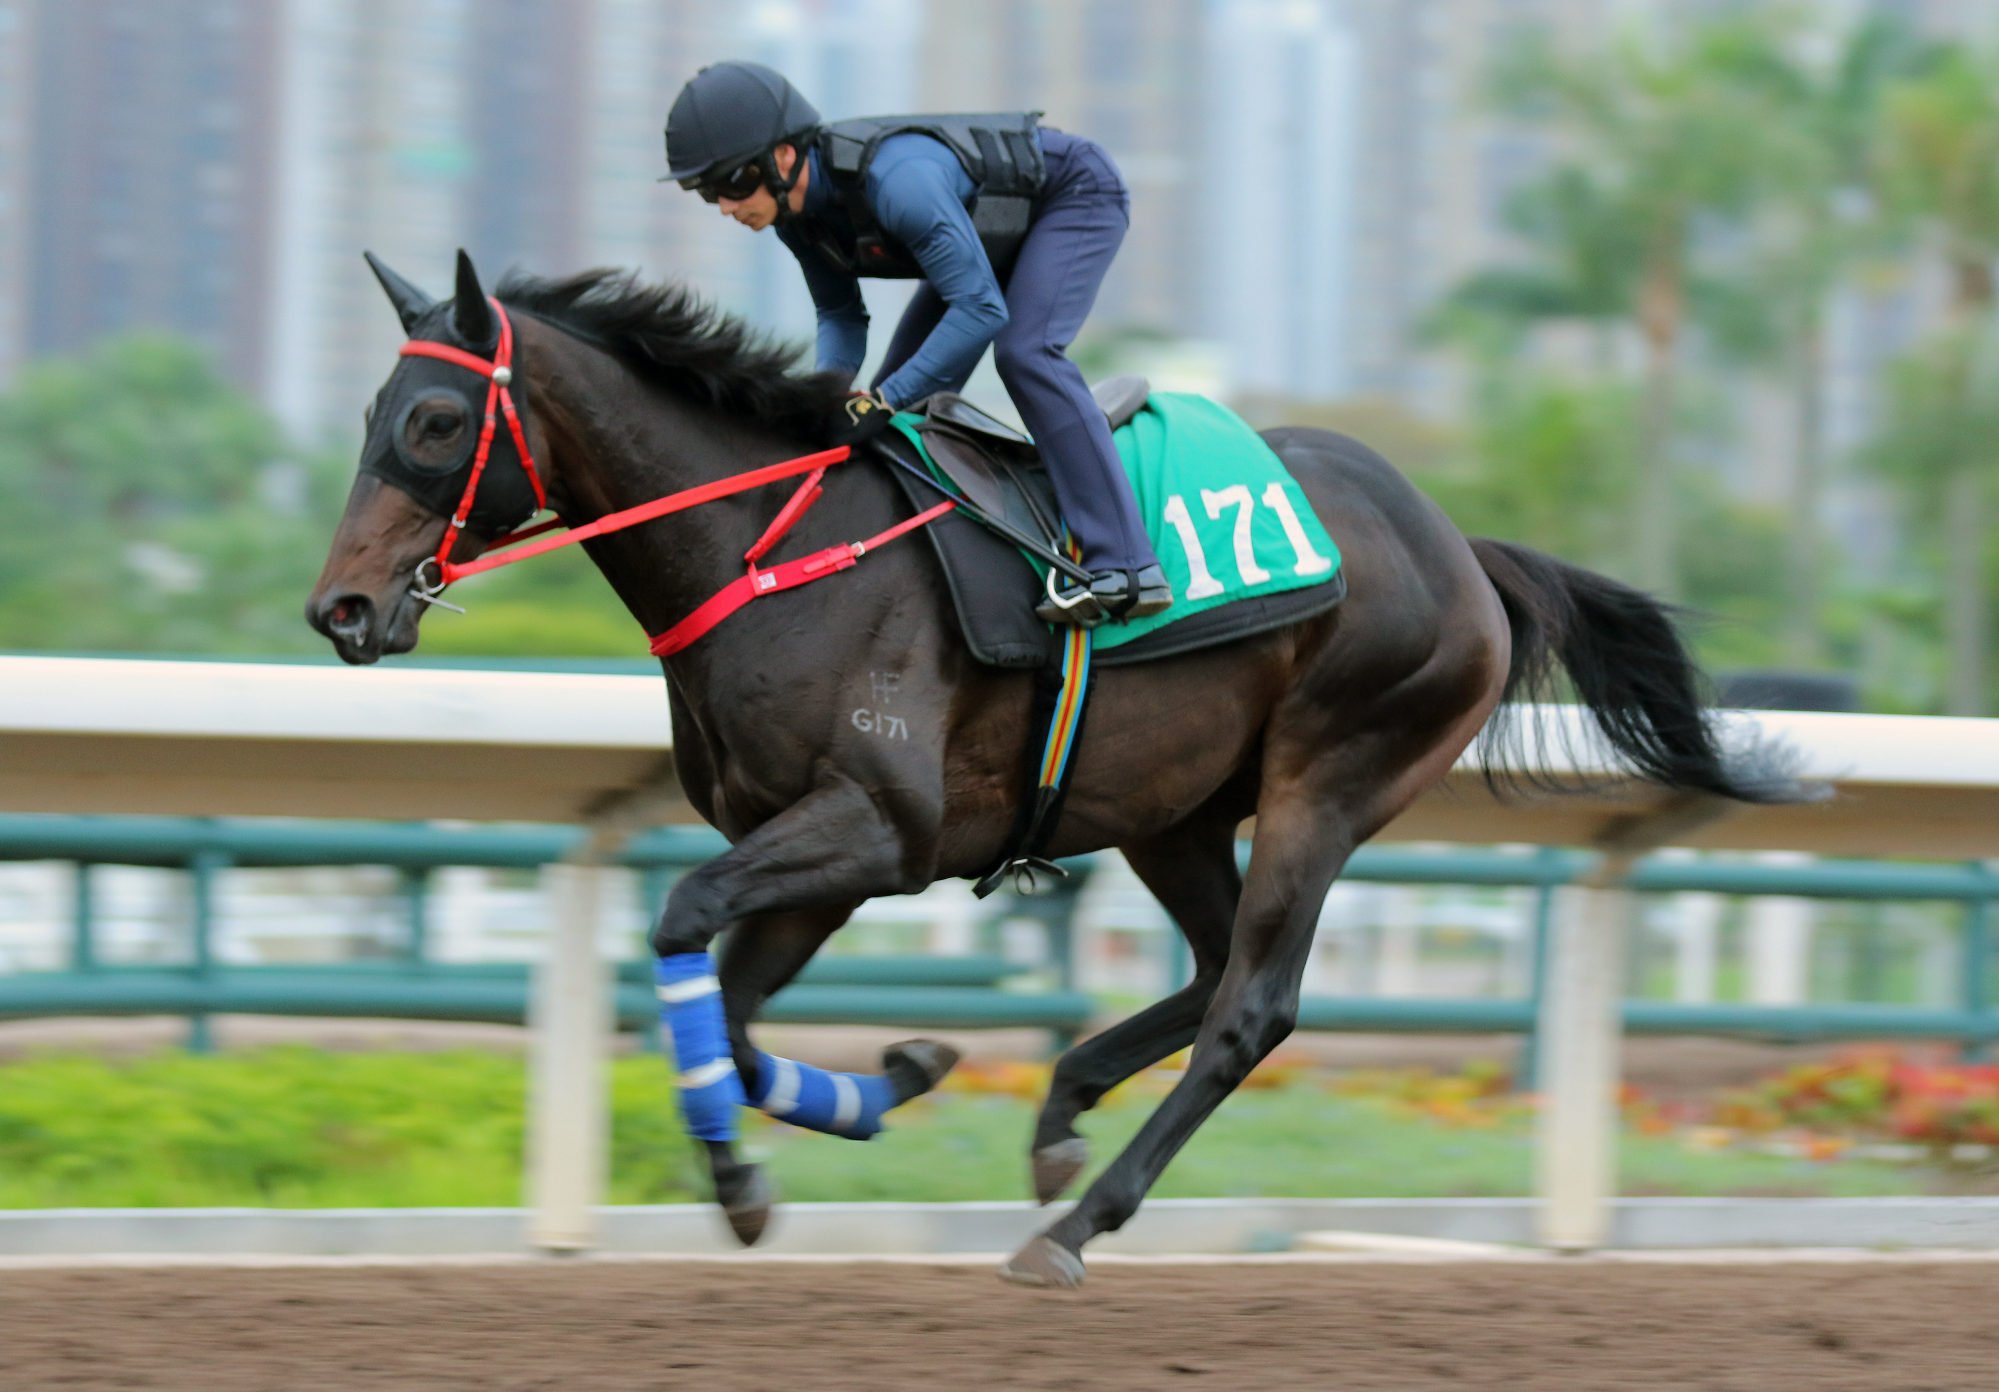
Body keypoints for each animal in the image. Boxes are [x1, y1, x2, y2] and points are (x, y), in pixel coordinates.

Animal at [299, 256, 1815, 1288]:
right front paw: (878, 1087)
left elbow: (683, 933)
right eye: (371, 406)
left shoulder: (876, 827)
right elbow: (719, 1007)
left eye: (433, 423)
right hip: (1173, 810)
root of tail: (1460, 549)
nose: (341, 611)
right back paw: (1058, 1117)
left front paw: (756, 1159)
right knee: (1210, 970)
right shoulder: (819, 854)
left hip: (1331, 778)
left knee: (1251, 1008)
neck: (773, 551)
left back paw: (1076, 1223)